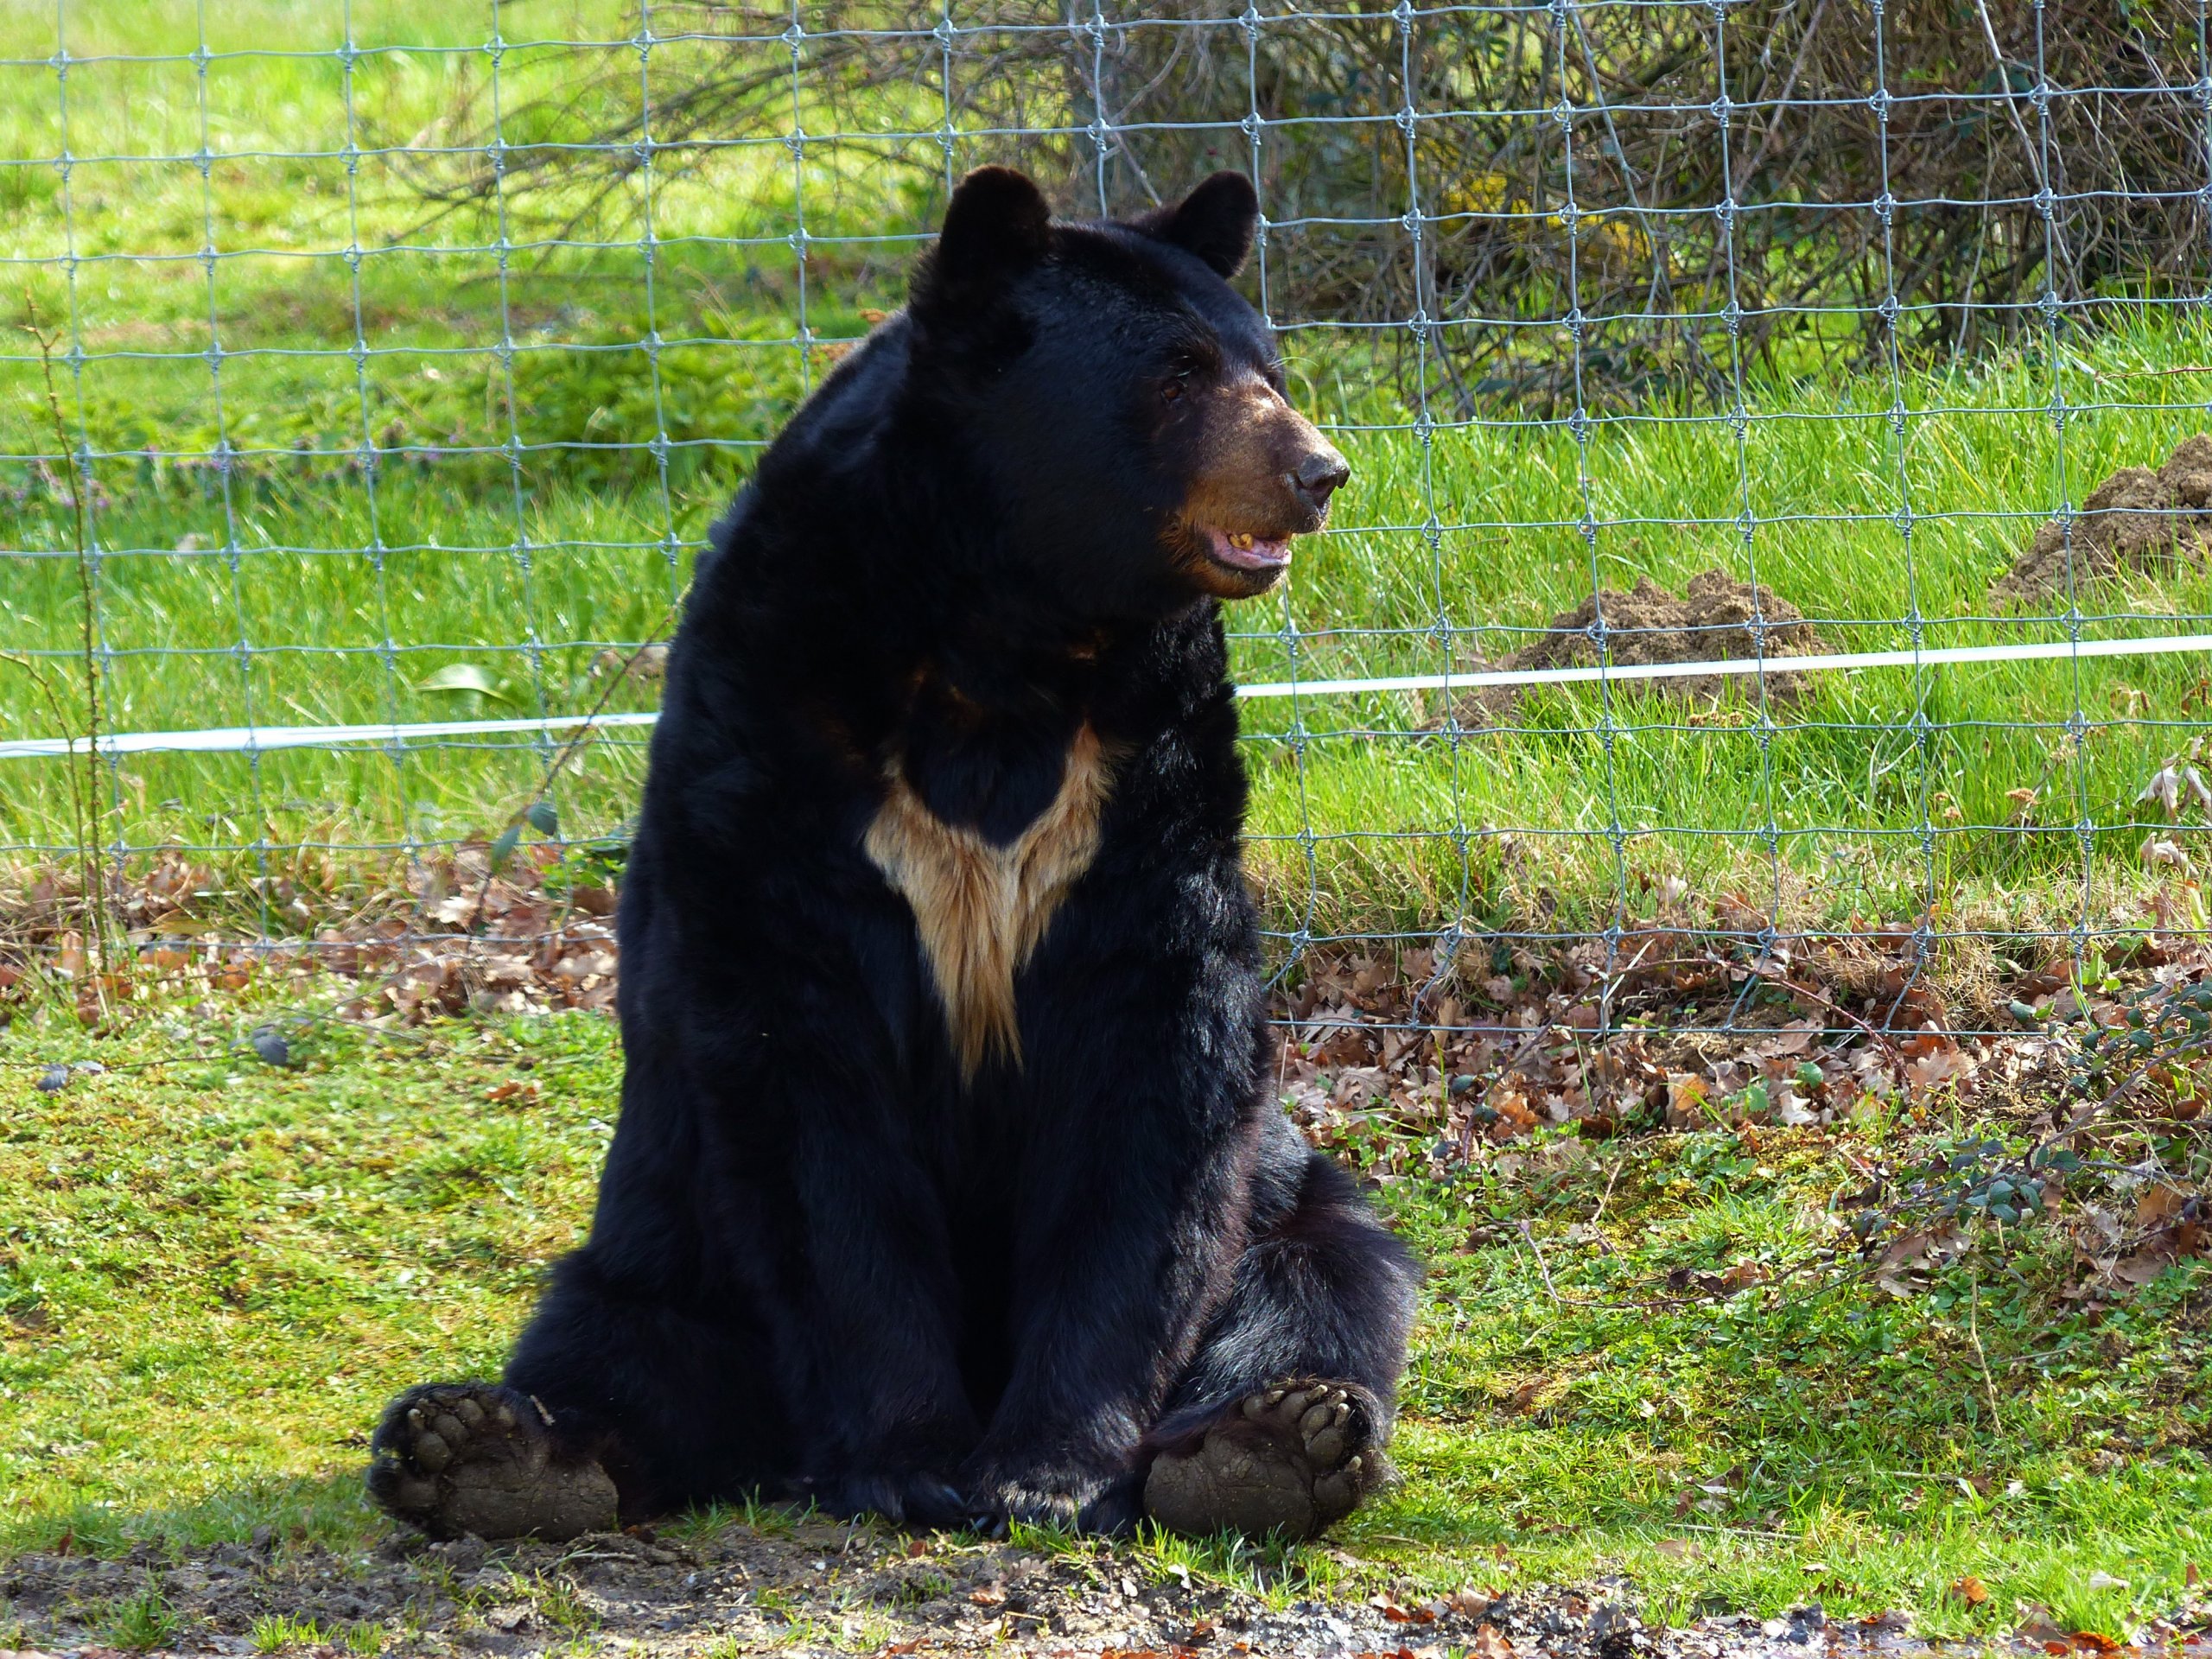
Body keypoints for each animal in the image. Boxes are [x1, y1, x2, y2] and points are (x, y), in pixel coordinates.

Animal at [366, 166, 1415, 1548]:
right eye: (1179, 374)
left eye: (1268, 365)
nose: (1318, 470)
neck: (1004, 629)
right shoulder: (779, 737)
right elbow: (808, 1094)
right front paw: (912, 1460)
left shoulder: (1144, 772)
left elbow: (1154, 1061)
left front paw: (1047, 1467)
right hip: (668, 1234)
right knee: (618, 1342)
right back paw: (489, 1452)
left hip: (1285, 1196)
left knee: (1319, 1283)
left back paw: (1269, 1443)